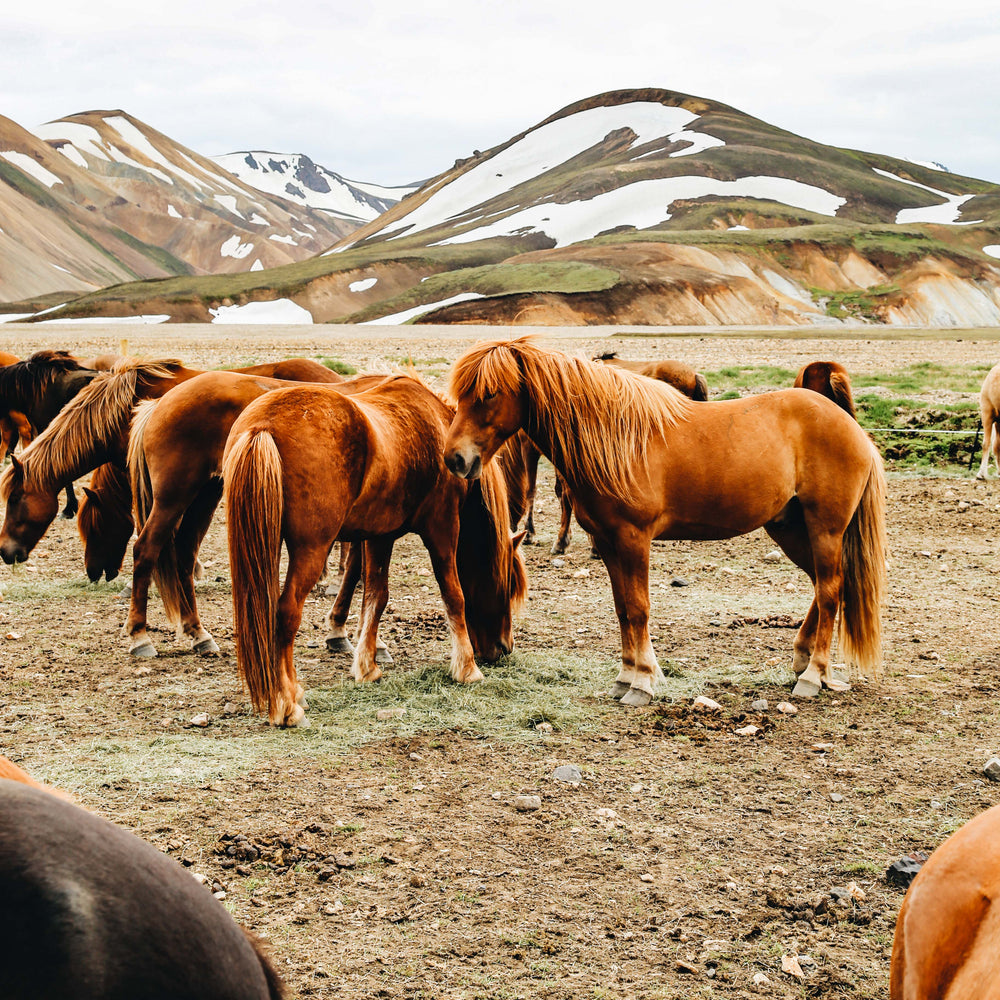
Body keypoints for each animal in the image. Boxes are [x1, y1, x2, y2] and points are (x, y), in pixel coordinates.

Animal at [223, 376, 528, 728]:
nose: (504, 648)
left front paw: (367, 667)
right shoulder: (442, 527)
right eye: (508, 587)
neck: (437, 426)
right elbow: (454, 596)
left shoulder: (380, 536)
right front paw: (467, 669)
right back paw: (286, 704)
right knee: (285, 613)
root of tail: (261, 425)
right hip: (311, 549)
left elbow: (376, 597)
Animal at [442, 340, 888, 708]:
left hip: (824, 528)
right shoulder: (608, 542)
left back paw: (813, 676)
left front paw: (642, 684)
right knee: (823, 586)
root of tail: (852, 429)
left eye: (489, 393)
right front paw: (625, 678)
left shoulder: (633, 539)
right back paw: (802, 660)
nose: (455, 459)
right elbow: (623, 609)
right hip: (790, 529)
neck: (616, 439)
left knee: (830, 591)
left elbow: (639, 609)